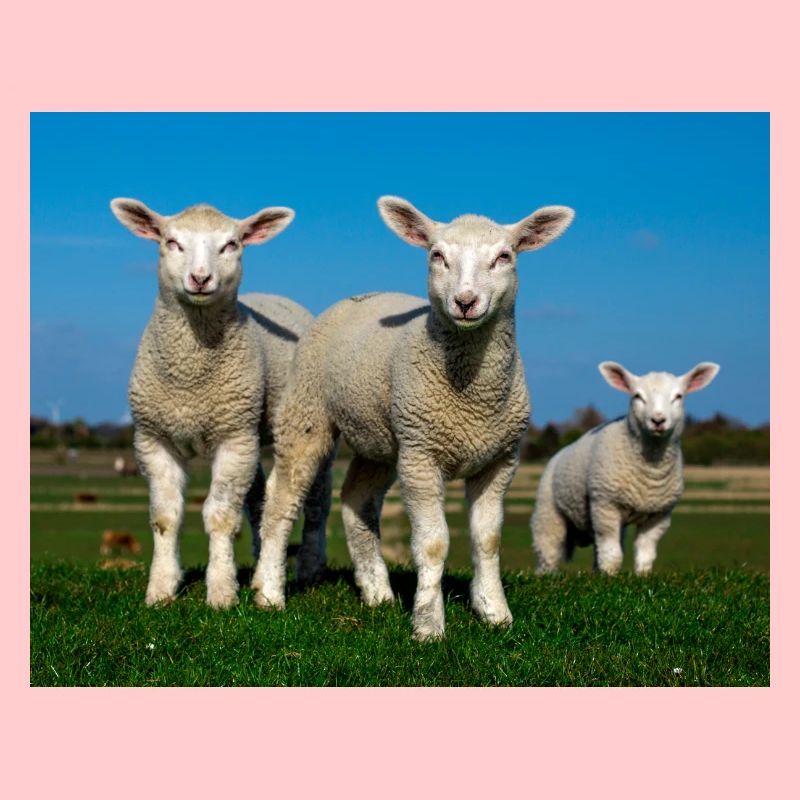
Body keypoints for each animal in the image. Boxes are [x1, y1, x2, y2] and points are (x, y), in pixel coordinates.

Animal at [110, 198, 332, 609]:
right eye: (171, 242)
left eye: (232, 244)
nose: (200, 278)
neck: (190, 378)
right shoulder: (153, 438)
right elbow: (165, 516)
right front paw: (161, 590)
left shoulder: (233, 438)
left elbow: (221, 516)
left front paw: (222, 593)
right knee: (259, 500)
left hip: (302, 424)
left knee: (317, 503)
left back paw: (309, 566)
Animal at [252, 195, 574, 639]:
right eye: (437, 256)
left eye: (504, 257)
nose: (466, 302)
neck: (471, 395)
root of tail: (362, 294)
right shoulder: (421, 456)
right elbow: (433, 543)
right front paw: (428, 625)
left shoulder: (500, 459)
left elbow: (488, 539)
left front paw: (495, 612)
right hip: (307, 411)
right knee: (282, 499)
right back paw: (268, 593)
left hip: (381, 439)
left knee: (356, 499)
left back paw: (376, 591)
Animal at [531, 361, 720, 576]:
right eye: (637, 396)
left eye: (678, 396)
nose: (658, 420)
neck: (651, 469)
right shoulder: (606, 506)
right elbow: (612, 554)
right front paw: (610, 577)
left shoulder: (658, 515)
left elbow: (645, 552)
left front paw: (642, 576)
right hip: (548, 513)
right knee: (548, 551)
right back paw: (547, 576)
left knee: (597, 548)